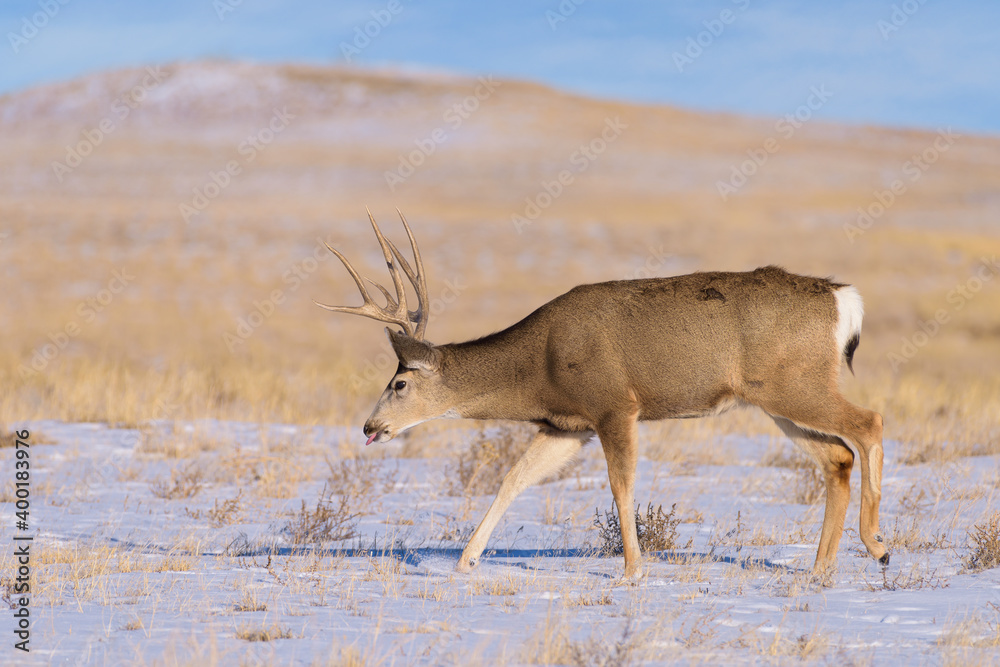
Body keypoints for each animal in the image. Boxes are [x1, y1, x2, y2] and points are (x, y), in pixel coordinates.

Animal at [316, 210, 887, 582]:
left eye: (399, 384)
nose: (369, 427)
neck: (539, 366)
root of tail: (843, 299)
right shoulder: (565, 426)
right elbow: (512, 480)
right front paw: (465, 560)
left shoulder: (614, 405)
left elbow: (621, 486)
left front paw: (632, 570)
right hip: (776, 400)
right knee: (837, 457)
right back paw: (819, 570)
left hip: (796, 384)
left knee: (869, 424)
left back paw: (877, 545)